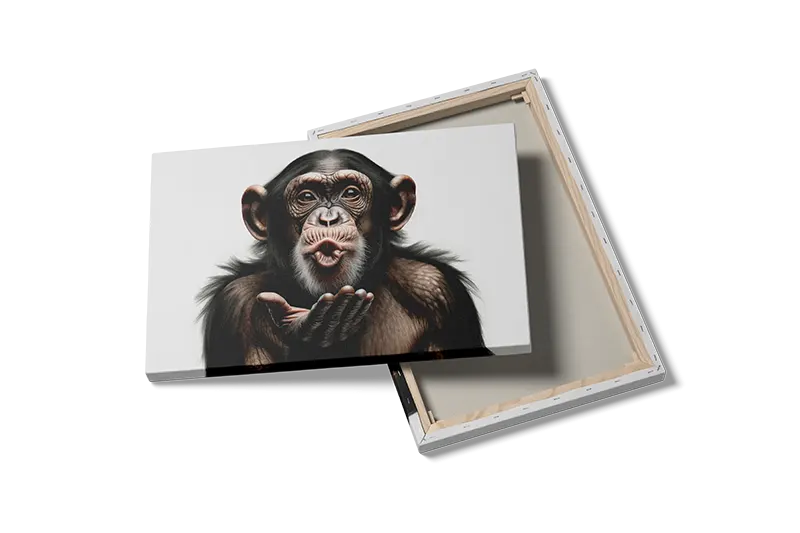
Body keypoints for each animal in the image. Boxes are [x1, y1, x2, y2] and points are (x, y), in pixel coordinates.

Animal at [197, 148, 491, 369]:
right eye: (307, 196)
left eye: (350, 193)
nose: (329, 219)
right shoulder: (233, 305)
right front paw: (314, 338)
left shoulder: (438, 291)